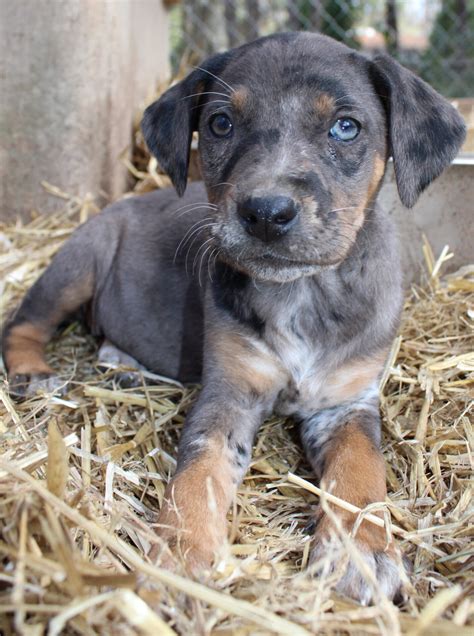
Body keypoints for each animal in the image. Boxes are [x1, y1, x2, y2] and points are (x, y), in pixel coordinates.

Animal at [1, 33, 464, 600]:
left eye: (346, 127)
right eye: (221, 123)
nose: (266, 213)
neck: (301, 293)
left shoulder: (347, 403)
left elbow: (361, 469)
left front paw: (360, 552)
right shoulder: (228, 395)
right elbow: (197, 474)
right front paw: (179, 555)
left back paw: (124, 365)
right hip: (78, 263)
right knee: (23, 323)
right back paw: (33, 374)